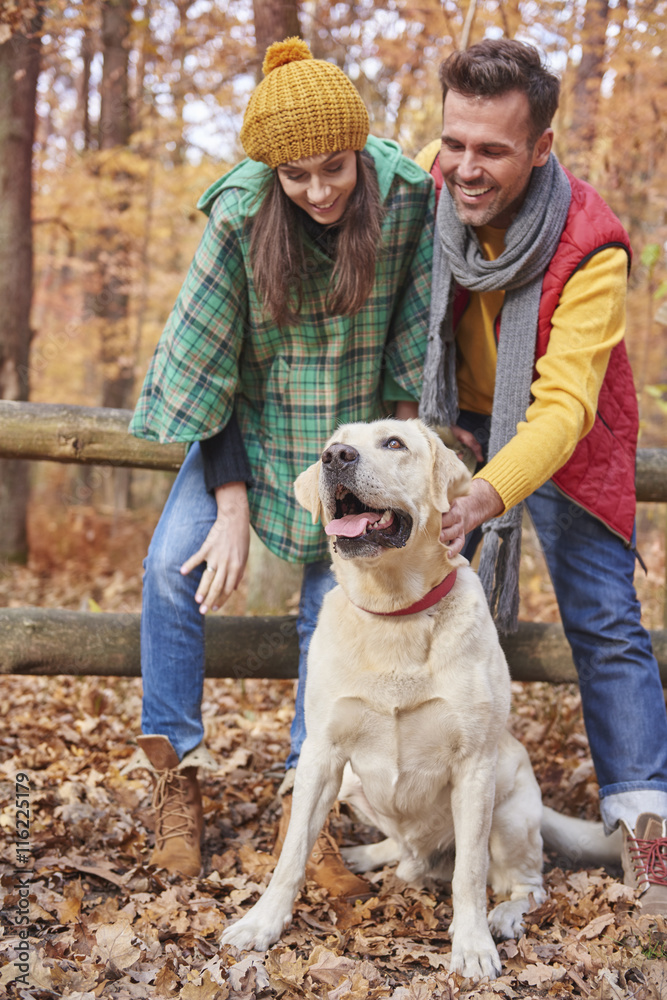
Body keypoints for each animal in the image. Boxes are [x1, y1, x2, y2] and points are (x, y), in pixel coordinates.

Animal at [222, 418, 544, 980]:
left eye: (394, 443)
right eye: (333, 445)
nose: (334, 458)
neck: (393, 610)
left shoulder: (476, 765)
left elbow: (470, 872)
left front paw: (473, 945)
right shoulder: (321, 755)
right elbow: (292, 853)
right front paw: (262, 922)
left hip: (509, 808)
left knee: (526, 885)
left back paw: (503, 916)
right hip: (353, 785)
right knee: (405, 851)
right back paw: (369, 855)